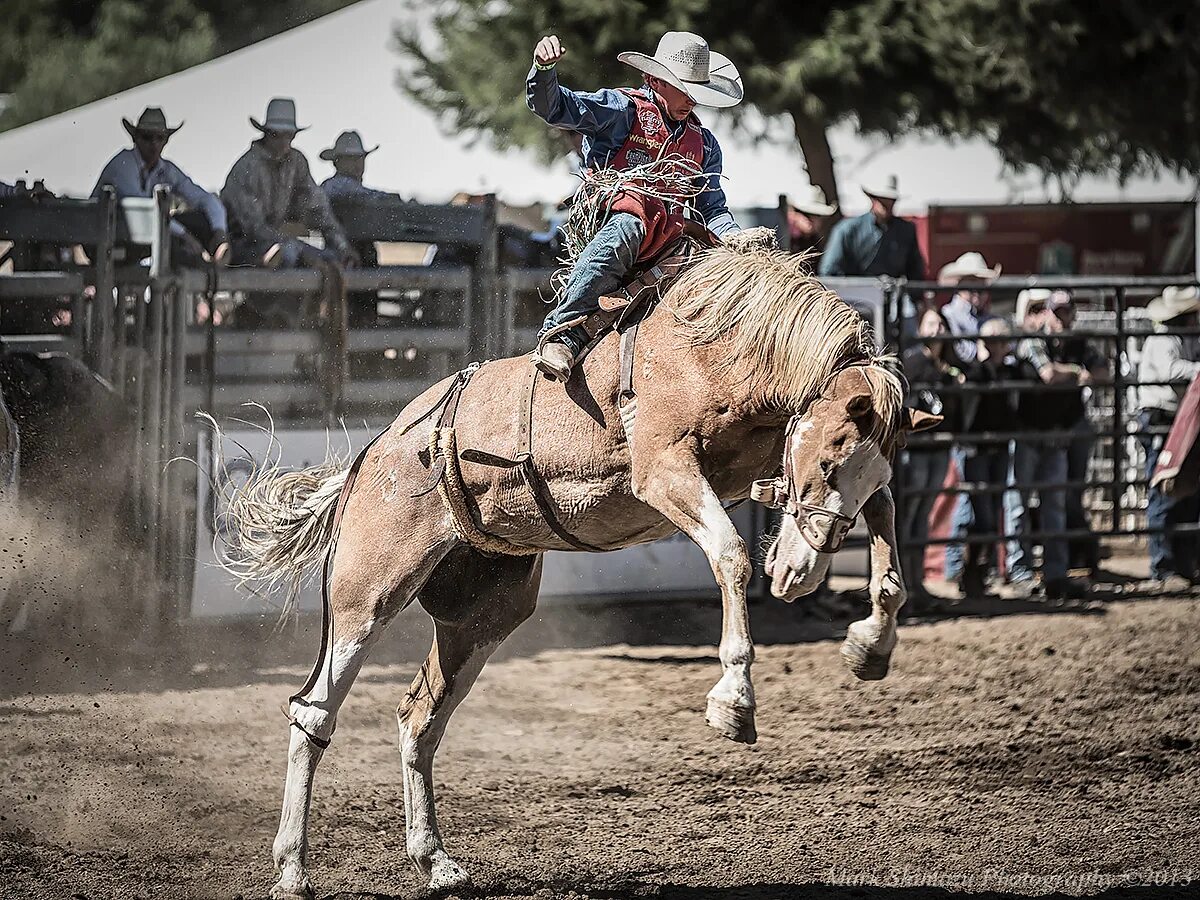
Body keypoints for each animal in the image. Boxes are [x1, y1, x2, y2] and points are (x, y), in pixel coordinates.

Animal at [220, 236, 940, 897]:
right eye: (827, 461)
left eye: (871, 468)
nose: (801, 574)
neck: (717, 348)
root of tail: (371, 455)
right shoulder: (665, 470)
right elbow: (731, 557)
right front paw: (733, 700)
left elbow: (889, 550)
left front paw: (870, 647)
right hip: (365, 593)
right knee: (314, 711)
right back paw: (292, 870)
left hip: (484, 615)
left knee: (419, 718)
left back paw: (436, 862)